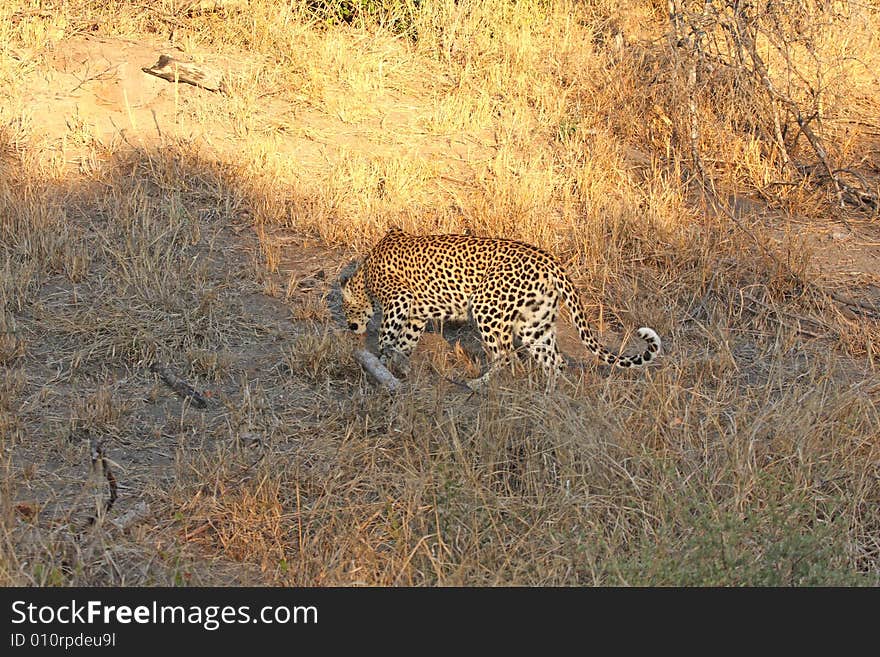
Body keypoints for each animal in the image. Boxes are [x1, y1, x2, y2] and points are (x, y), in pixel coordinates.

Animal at [342, 226, 660, 384]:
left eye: (346, 312)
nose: (350, 326)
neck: (364, 273)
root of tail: (551, 261)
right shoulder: (416, 315)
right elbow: (405, 340)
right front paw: (398, 363)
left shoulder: (399, 300)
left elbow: (387, 335)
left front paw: (381, 361)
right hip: (535, 323)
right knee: (553, 361)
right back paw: (548, 398)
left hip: (487, 308)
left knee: (507, 357)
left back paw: (479, 384)